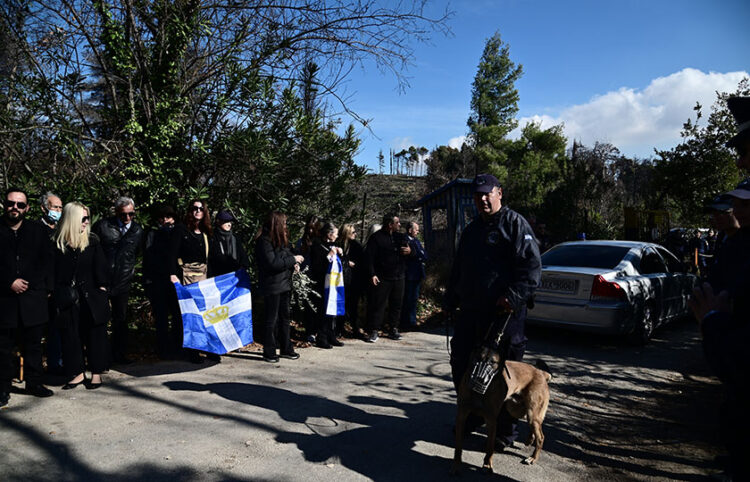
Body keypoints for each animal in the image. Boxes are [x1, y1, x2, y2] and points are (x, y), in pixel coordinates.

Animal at [452, 346, 552, 474]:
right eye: (478, 358)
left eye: (493, 362)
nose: (479, 379)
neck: (479, 393)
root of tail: (541, 372)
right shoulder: (461, 417)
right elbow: (458, 446)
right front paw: (456, 465)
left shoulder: (491, 421)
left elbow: (490, 448)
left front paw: (487, 465)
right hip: (515, 409)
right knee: (534, 428)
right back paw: (529, 440)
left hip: (531, 413)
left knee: (540, 437)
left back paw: (533, 458)